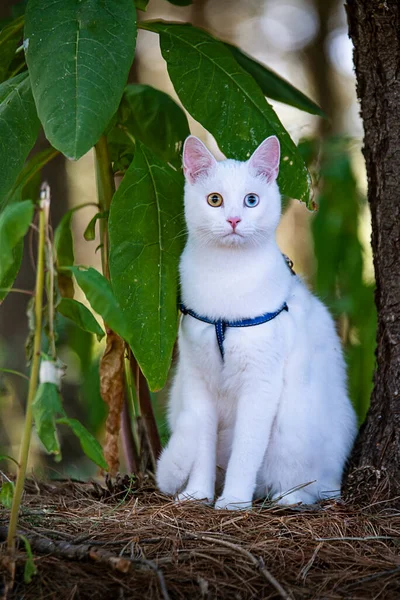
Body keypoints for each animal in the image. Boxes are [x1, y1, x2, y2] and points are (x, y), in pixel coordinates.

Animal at [155, 136, 356, 510]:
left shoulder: (260, 384)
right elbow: (201, 451)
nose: (234, 219)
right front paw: (198, 494)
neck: (226, 278)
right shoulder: (198, 381)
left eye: (252, 200)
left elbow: (246, 452)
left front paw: (233, 501)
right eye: (215, 200)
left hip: (295, 429)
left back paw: (289, 498)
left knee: (312, 483)